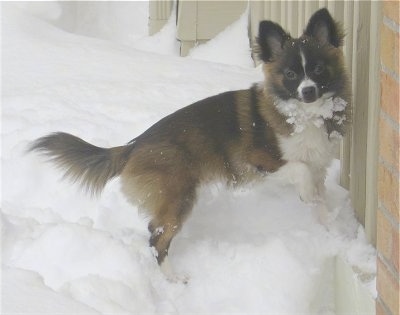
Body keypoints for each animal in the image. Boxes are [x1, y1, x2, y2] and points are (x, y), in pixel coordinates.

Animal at [30, 8, 350, 282]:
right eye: (291, 74)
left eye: (318, 69)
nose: (308, 91)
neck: (305, 115)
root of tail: (133, 146)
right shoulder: (257, 160)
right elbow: (299, 170)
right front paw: (307, 196)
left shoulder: (318, 165)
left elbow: (319, 198)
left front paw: (330, 228)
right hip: (178, 196)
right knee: (156, 235)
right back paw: (173, 277)